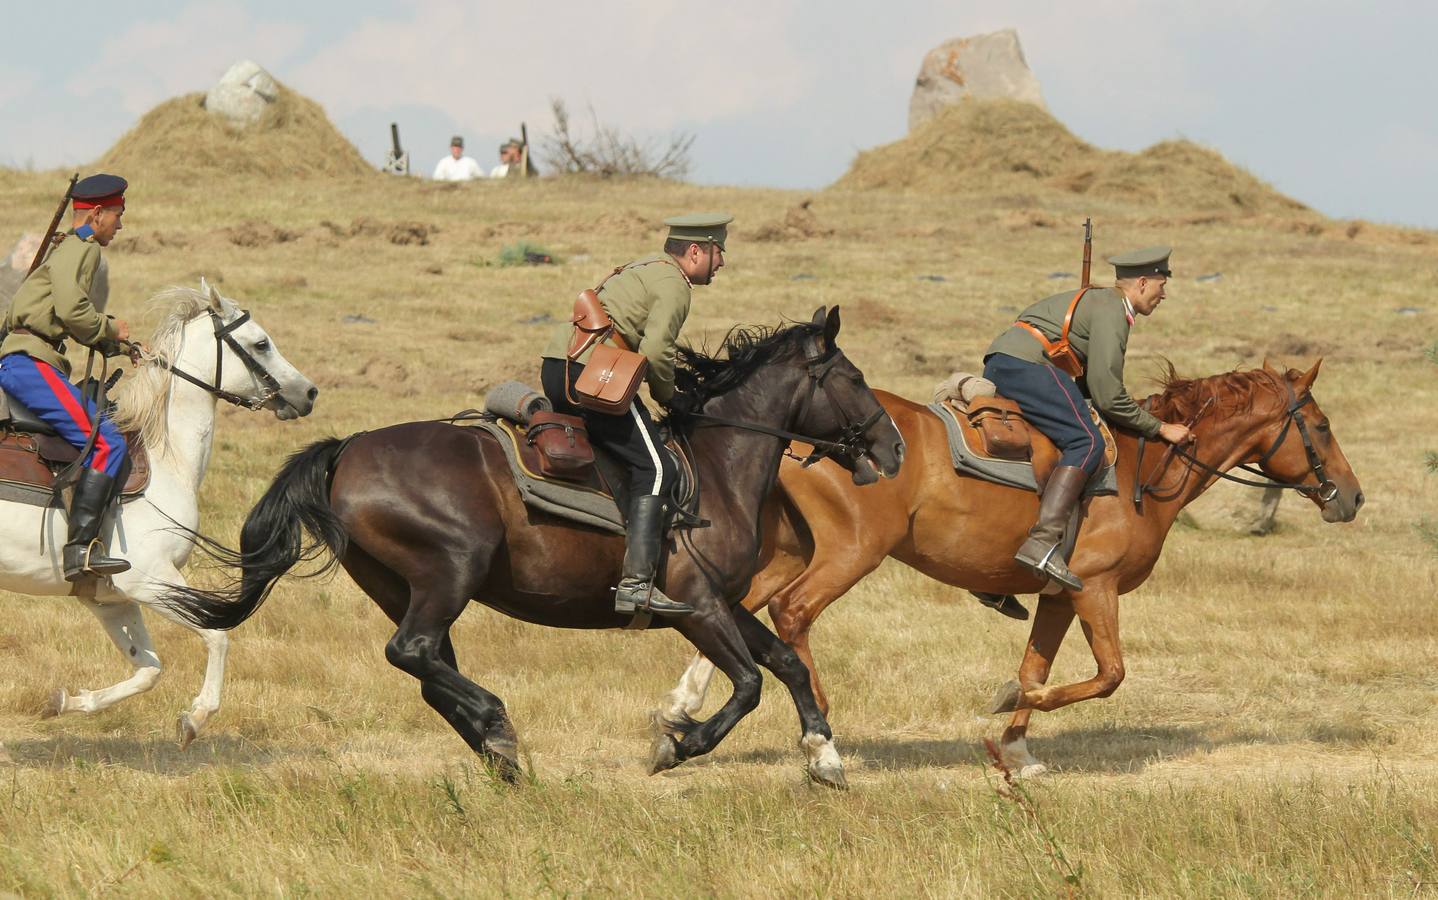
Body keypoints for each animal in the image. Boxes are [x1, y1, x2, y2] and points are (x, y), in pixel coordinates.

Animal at [0, 278, 317, 741]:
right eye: (261, 343)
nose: (308, 392)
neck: (167, 458)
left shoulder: (111, 598)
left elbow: (147, 670)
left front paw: (68, 702)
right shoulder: (150, 580)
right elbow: (217, 636)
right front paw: (196, 716)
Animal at [157, 307, 897, 782]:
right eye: (856, 380)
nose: (893, 449)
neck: (717, 467)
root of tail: (347, 450)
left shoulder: (723, 602)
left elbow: (787, 664)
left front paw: (824, 756)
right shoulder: (696, 604)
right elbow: (748, 684)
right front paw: (677, 745)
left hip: (403, 585)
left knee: (426, 669)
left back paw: (499, 751)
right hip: (452, 570)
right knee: (413, 653)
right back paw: (496, 723)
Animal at [661, 360, 1357, 776]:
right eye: (1321, 427)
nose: (1352, 497)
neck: (1144, 466)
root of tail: (808, 434)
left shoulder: (1058, 594)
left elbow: (1037, 667)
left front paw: (1020, 749)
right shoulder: (1096, 590)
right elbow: (1108, 675)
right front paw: (1006, 703)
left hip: (789, 549)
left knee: (738, 604)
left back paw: (679, 708)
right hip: (849, 552)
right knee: (792, 612)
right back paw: (821, 732)